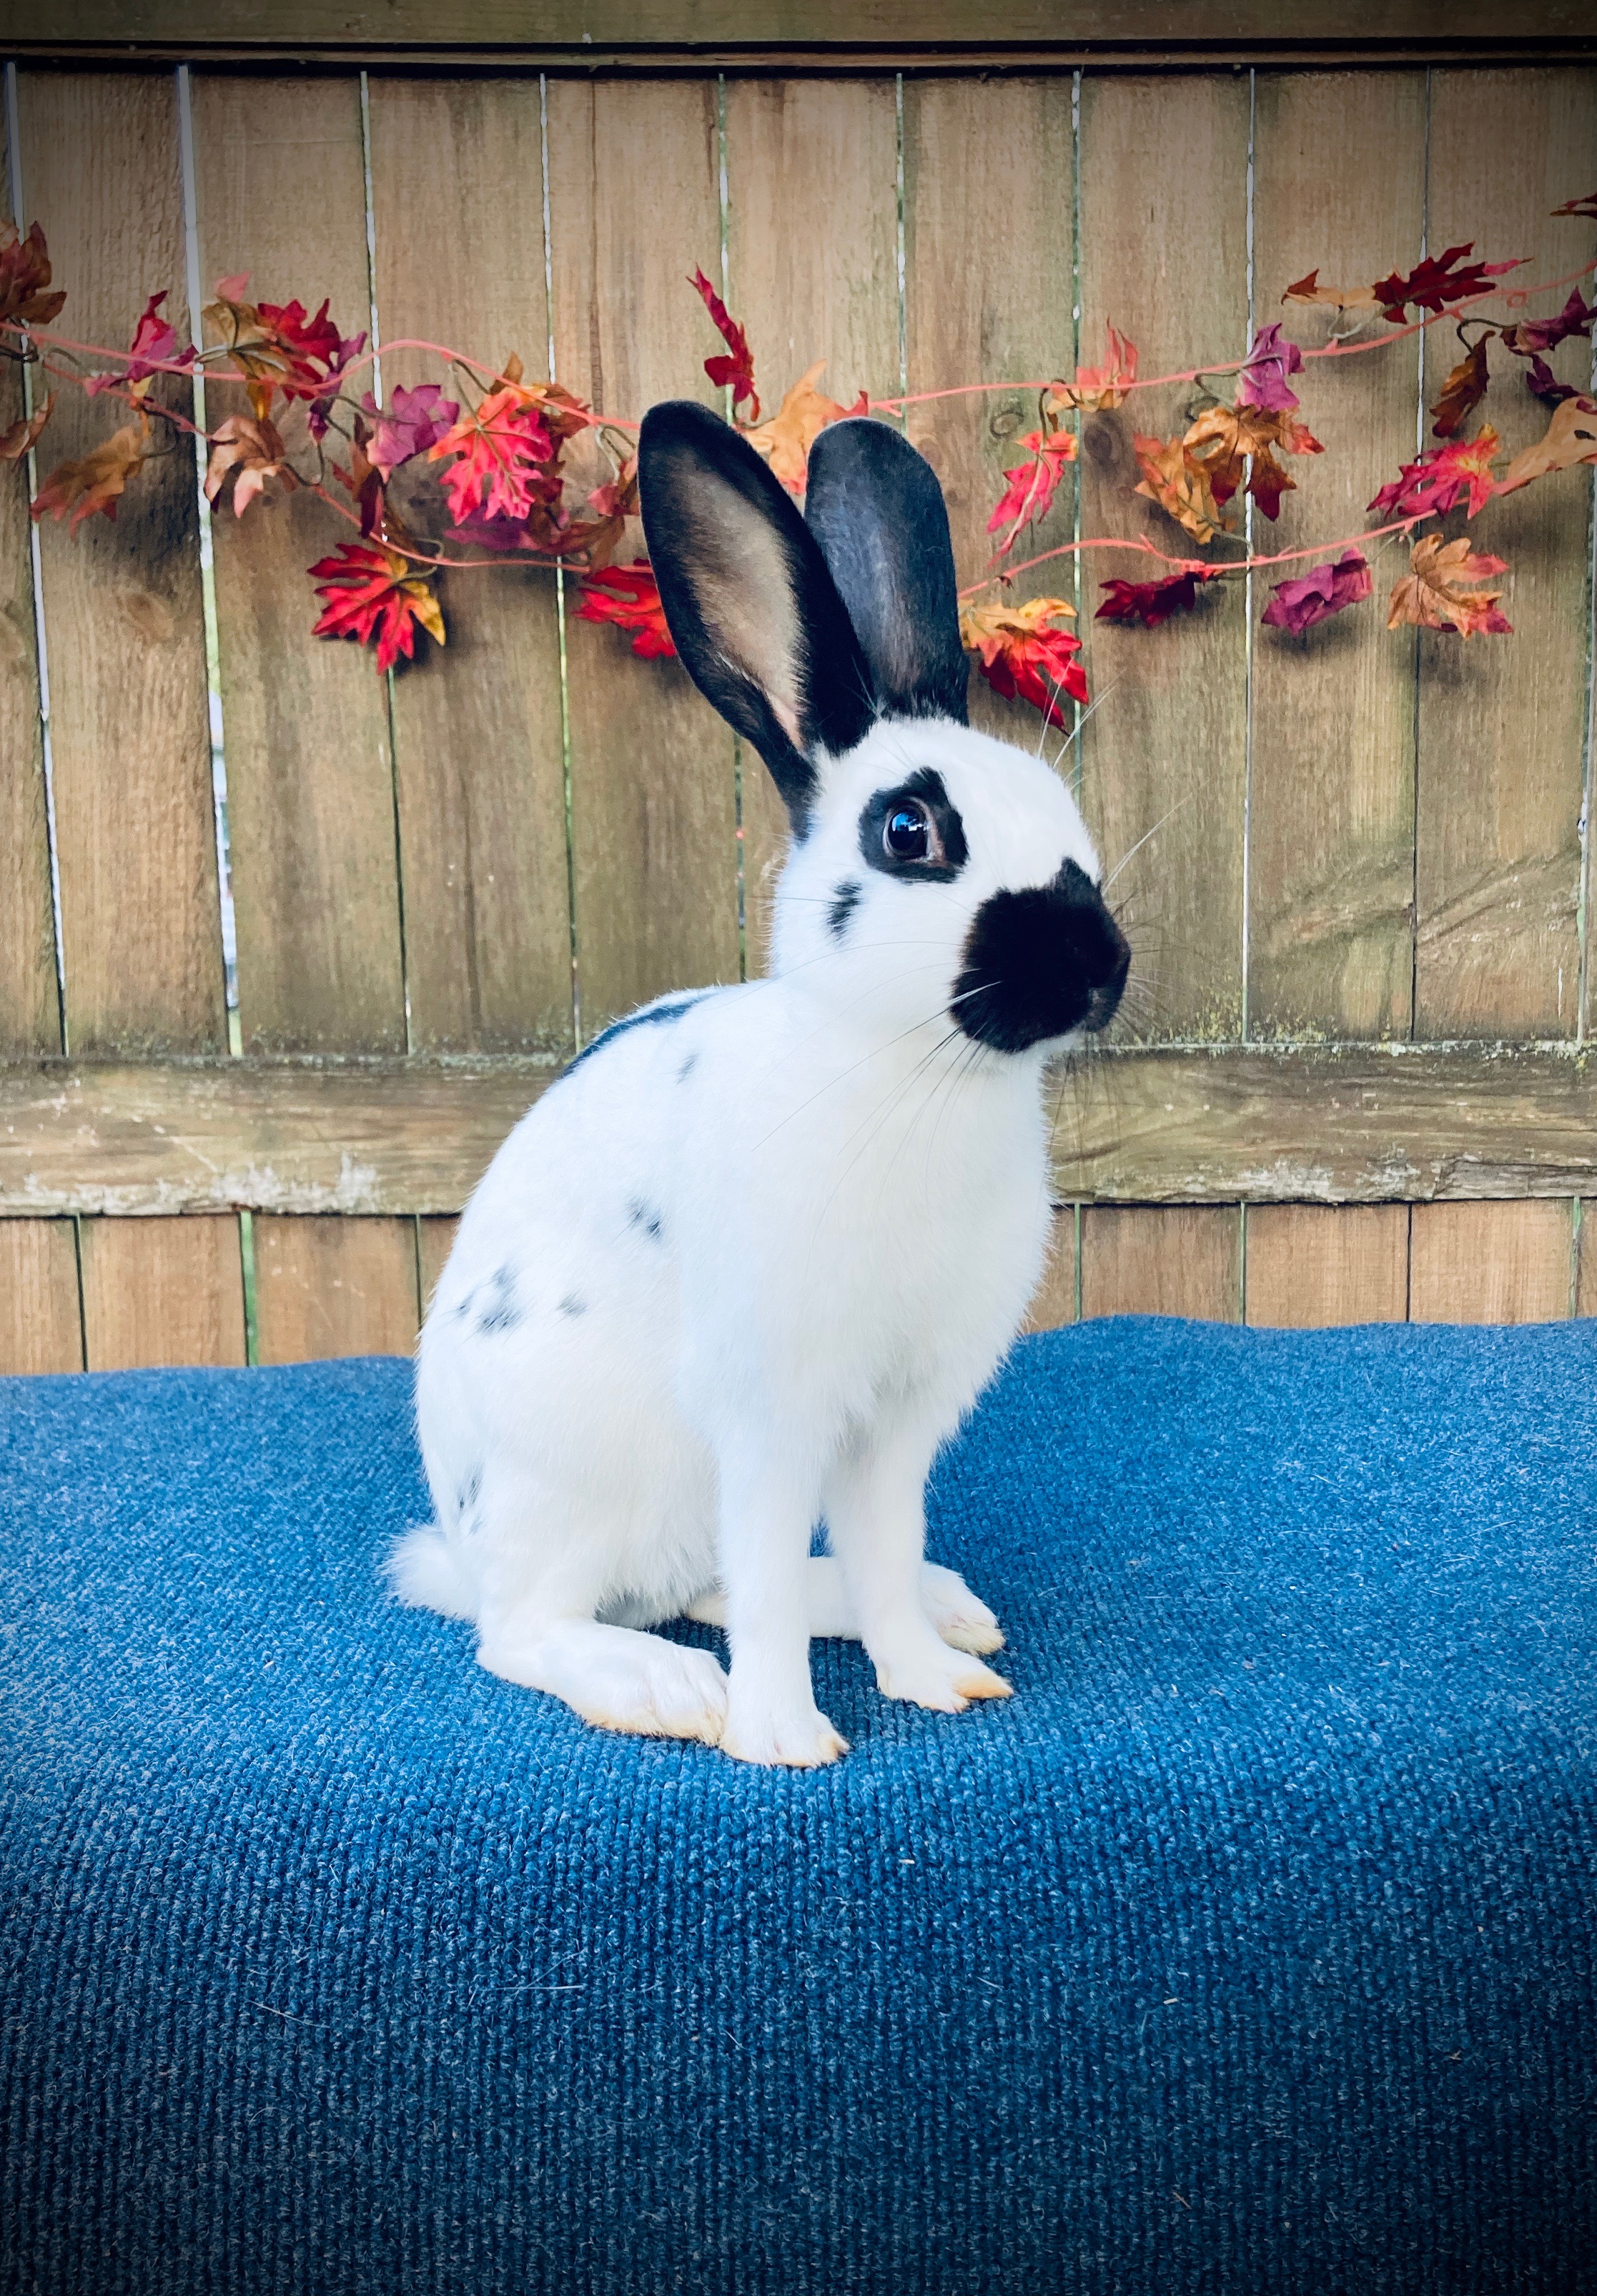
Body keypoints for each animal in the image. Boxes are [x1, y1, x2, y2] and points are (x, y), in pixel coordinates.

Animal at [393, 401, 1130, 1767]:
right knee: (530, 1631)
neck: (911, 1075)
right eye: (909, 833)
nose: (1093, 967)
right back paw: (668, 1691)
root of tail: (455, 1547)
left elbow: (881, 1549)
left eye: (1063, 814)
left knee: (712, 1584)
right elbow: (773, 1577)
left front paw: (927, 1678)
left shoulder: (898, 1421)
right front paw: (784, 1737)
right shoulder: (771, 1408)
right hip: (573, 1484)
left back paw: (949, 1615)